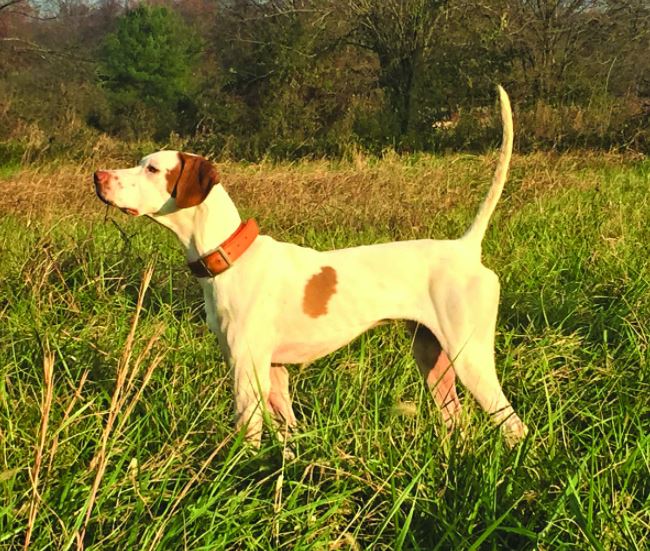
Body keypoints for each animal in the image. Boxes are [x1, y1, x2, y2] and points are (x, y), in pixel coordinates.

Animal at [92, 86, 528, 448]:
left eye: (152, 169)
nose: (98, 175)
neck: (229, 256)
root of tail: (466, 248)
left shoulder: (246, 370)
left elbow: (247, 439)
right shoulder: (274, 374)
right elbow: (286, 436)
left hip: (470, 357)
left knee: (513, 425)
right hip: (433, 361)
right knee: (458, 422)